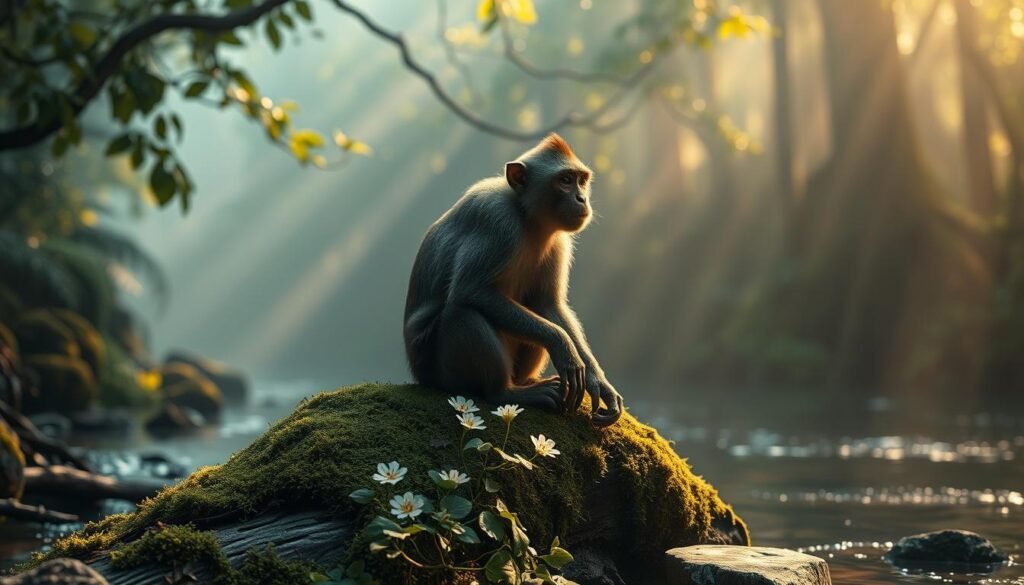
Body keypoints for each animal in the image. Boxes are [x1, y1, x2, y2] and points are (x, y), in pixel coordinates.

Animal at [404, 133, 623, 427]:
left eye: (581, 180)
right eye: (565, 180)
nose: (582, 198)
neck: (527, 217)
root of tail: (421, 377)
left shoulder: (558, 243)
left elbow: (549, 305)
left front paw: (599, 384)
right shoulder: (496, 221)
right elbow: (470, 291)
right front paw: (563, 346)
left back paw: (529, 382)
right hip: (441, 375)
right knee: (460, 311)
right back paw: (507, 392)